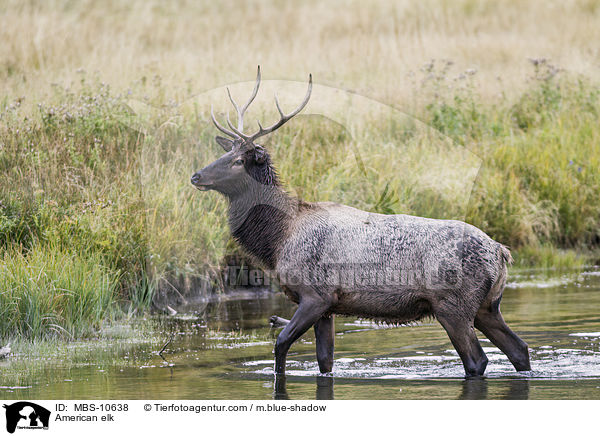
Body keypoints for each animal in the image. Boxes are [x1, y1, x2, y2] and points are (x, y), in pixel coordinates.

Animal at [191, 68, 528, 378]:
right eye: (225, 153)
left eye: (238, 161)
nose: (196, 175)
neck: (277, 240)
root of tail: (501, 252)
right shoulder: (328, 307)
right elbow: (325, 362)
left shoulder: (316, 294)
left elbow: (281, 344)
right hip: (487, 306)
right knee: (519, 349)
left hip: (452, 305)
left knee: (477, 361)